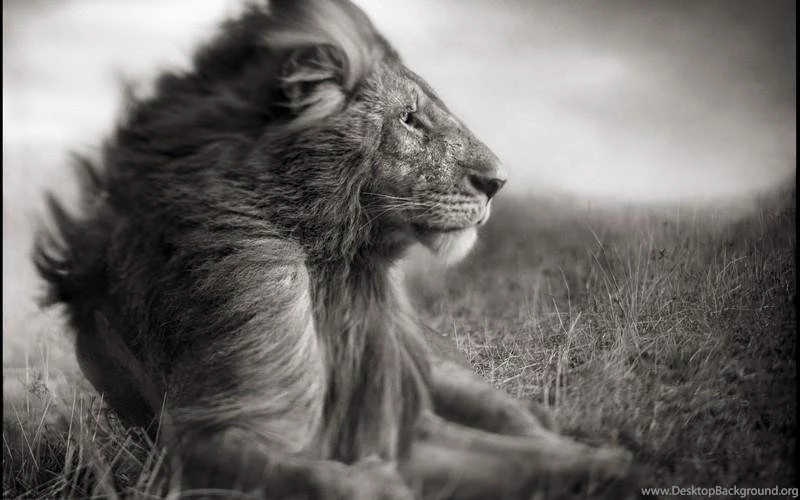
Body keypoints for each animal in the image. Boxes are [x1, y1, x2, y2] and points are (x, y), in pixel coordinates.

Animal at [34, 0, 638, 498]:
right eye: (410, 119)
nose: (499, 182)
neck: (336, 268)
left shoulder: (401, 425)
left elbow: (528, 459)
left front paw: (610, 465)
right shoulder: (204, 440)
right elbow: (320, 478)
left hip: (447, 377)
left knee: (525, 420)